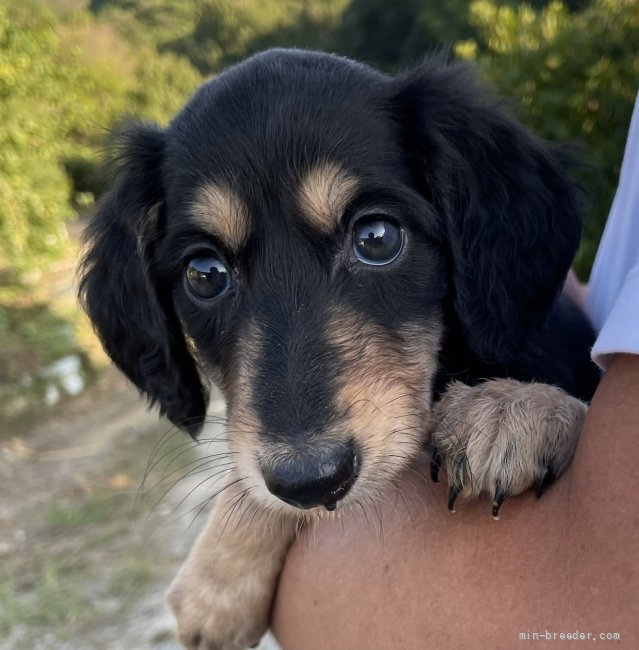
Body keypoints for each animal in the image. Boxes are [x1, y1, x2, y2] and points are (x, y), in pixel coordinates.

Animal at [80, 50, 600, 648]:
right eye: (204, 274)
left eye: (377, 238)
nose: (313, 480)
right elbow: (251, 474)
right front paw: (218, 580)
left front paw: (518, 408)